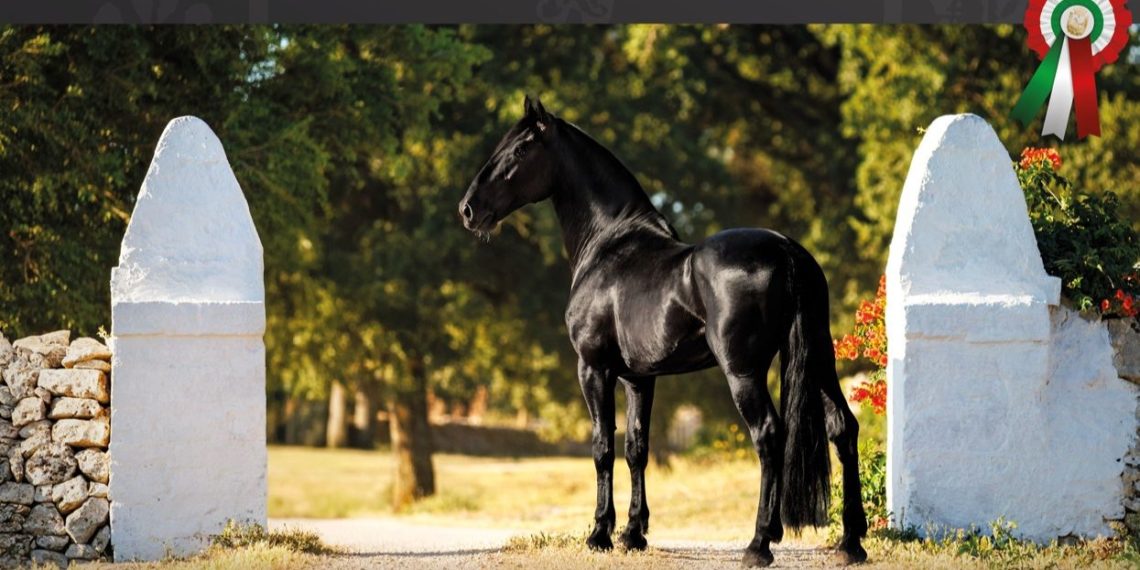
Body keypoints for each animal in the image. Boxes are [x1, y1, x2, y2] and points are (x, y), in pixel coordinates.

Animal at [459, 96, 868, 567]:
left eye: (521, 149)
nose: (468, 210)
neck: (609, 244)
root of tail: (785, 250)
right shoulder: (640, 378)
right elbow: (637, 448)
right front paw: (633, 534)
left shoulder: (593, 369)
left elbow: (602, 447)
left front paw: (599, 534)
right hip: (817, 358)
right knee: (843, 428)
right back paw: (850, 542)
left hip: (743, 371)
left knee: (769, 434)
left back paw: (758, 544)